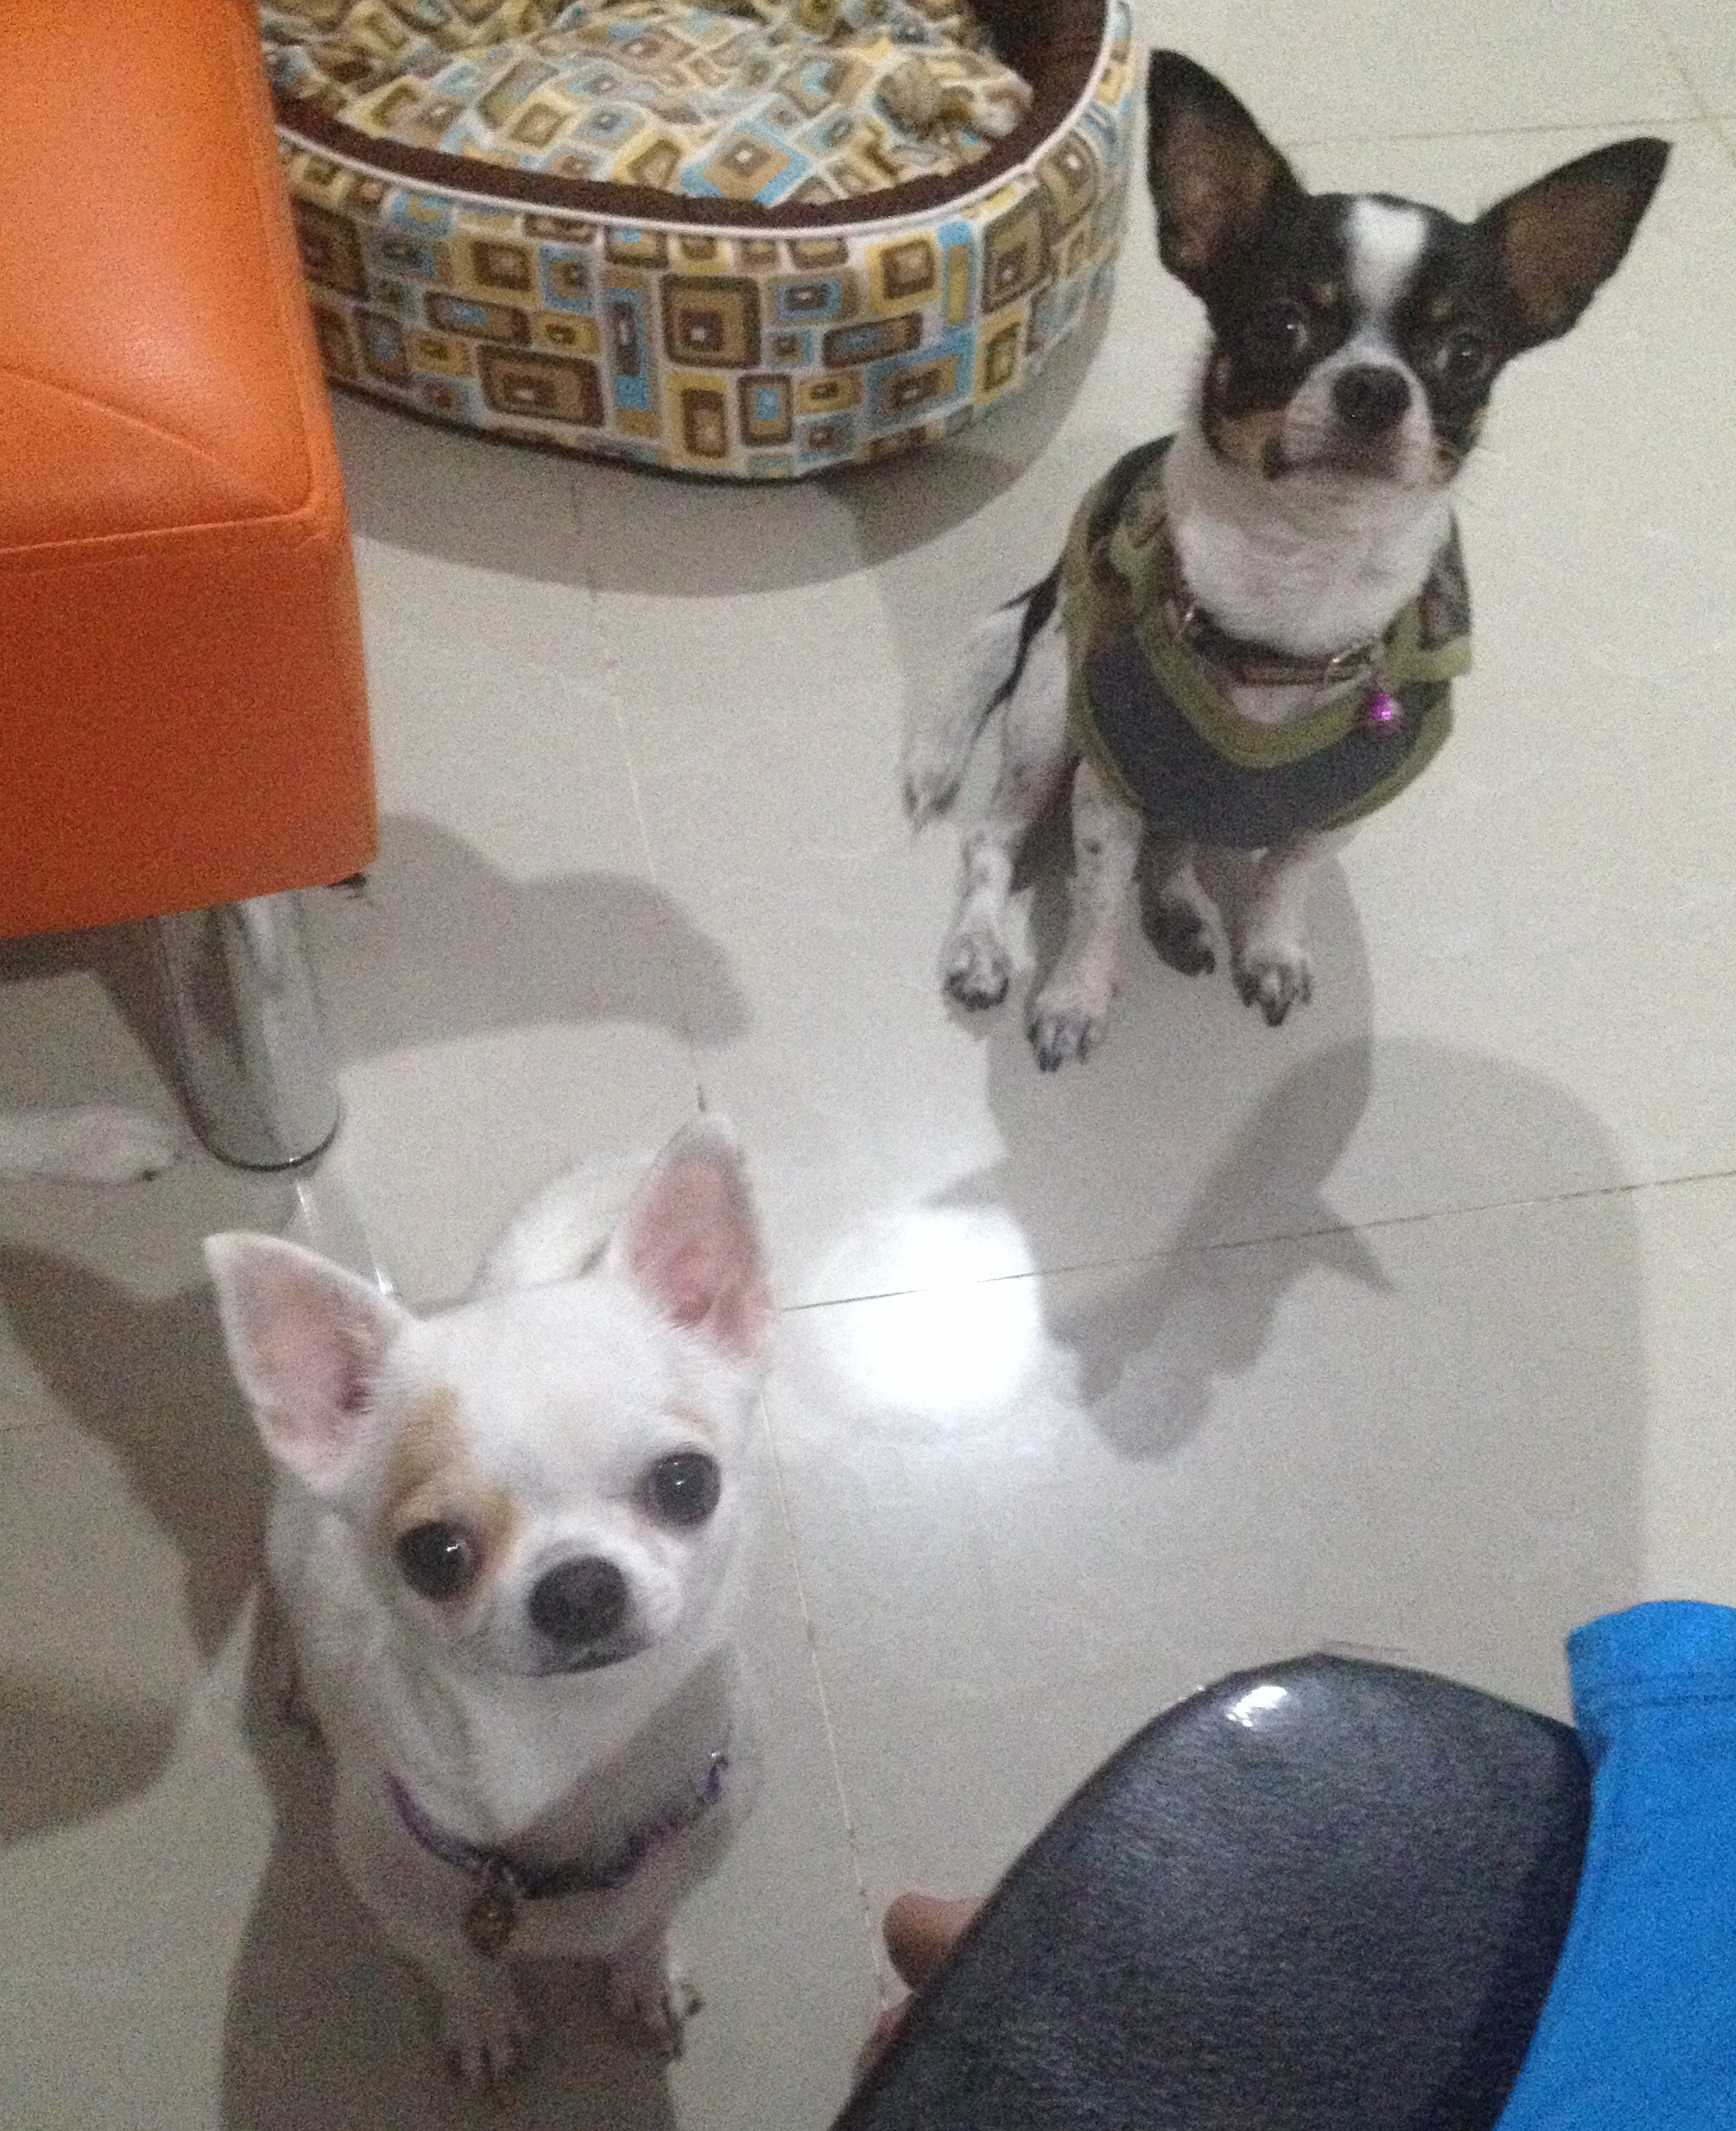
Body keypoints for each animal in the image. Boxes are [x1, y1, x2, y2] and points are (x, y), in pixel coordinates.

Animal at [206, 1115, 772, 2086]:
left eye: (686, 1483)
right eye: (435, 1554)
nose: (579, 1586)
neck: (576, 1750)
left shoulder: (688, 1855)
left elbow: (647, 1920)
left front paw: (643, 1976)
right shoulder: (400, 1897)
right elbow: (457, 1962)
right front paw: (482, 2017)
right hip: (284, 1537)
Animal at [907, 49, 1667, 1067]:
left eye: (1466, 351)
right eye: (1279, 325)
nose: (1375, 387)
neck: (1300, 579)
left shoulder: (1337, 809)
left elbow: (1285, 875)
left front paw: (1268, 948)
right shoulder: (1108, 787)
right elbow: (1097, 904)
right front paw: (1074, 995)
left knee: (1182, 839)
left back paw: (1183, 906)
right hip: (1045, 720)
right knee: (992, 841)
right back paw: (985, 947)